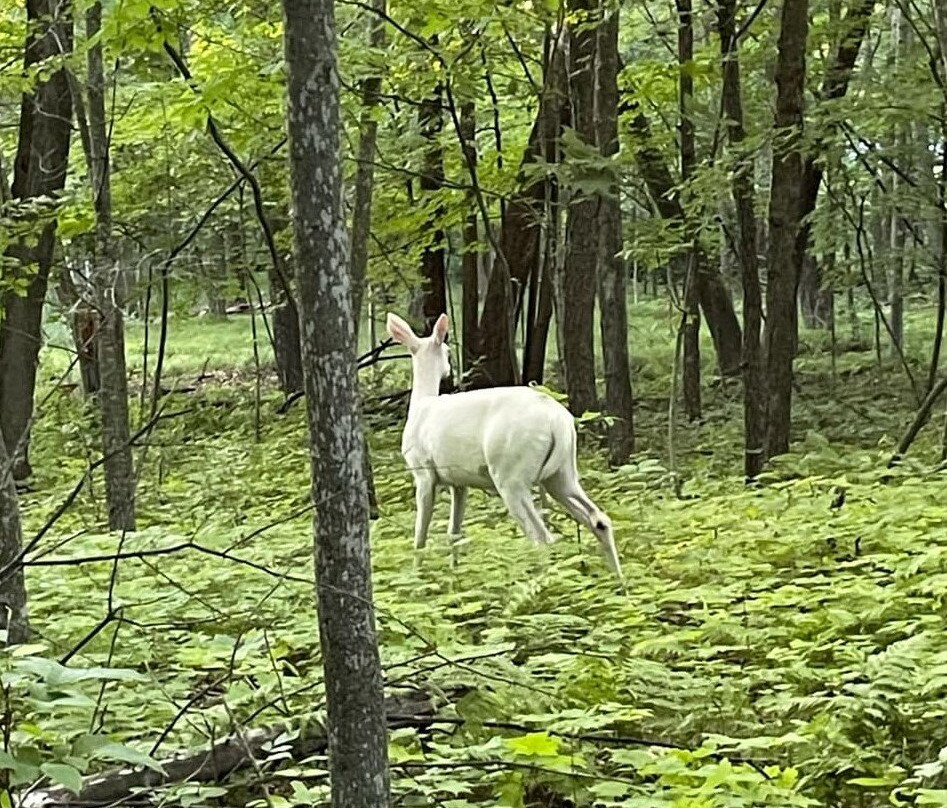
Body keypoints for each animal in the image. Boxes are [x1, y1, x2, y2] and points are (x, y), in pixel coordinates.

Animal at [386, 310, 624, 580]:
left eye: (447, 351)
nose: (449, 370)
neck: (421, 406)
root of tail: (558, 421)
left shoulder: (423, 471)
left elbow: (420, 537)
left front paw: (417, 576)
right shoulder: (459, 482)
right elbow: (454, 534)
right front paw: (454, 576)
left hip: (511, 472)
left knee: (542, 537)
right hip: (563, 472)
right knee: (599, 519)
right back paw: (619, 580)